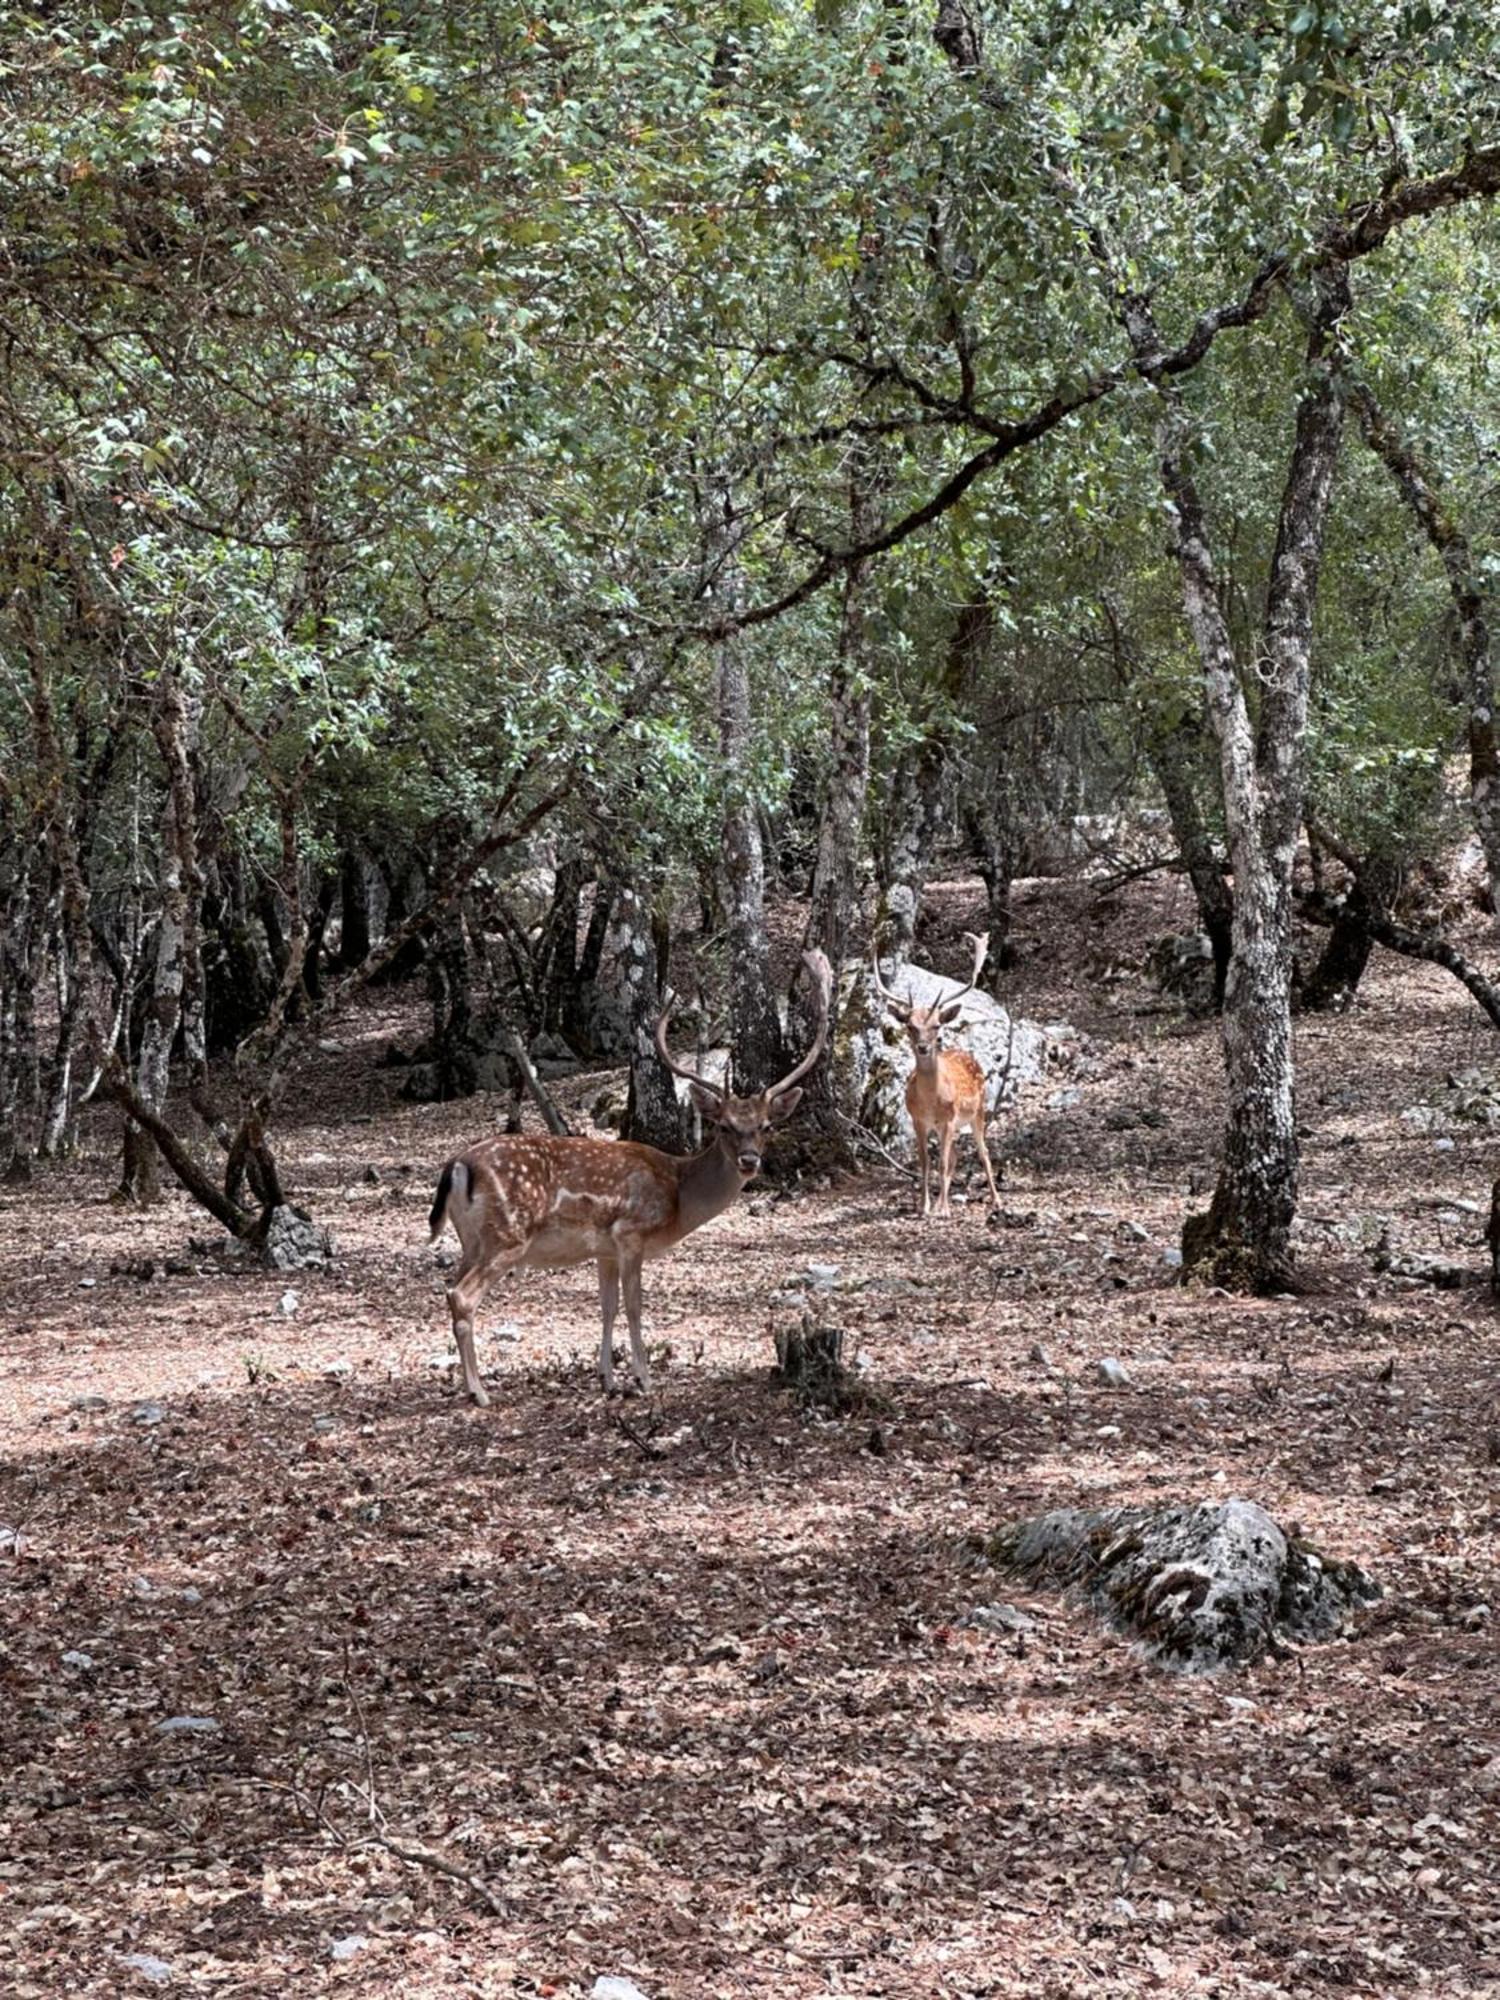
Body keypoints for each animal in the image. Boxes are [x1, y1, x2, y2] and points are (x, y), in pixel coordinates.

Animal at [428, 956, 836, 1408]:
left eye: (765, 1125)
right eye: (724, 1126)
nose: (750, 1160)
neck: (678, 1194)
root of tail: (458, 1165)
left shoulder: (604, 1249)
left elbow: (606, 1306)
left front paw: (608, 1378)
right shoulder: (631, 1233)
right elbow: (634, 1305)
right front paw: (644, 1378)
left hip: (472, 1240)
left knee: (450, 1289)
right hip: (508, 1234)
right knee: (461, 1296)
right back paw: (479, 1391)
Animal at [876, 932, 1004, 1216]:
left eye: (936, 1025)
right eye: (910, 1025)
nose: (923, 1047)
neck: (931, 1101)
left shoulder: (948, 1118)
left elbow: (942, 1163)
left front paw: (943, 1210)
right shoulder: (918, 1120)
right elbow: (925, 1163)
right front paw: (924, 1207)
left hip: (977, 1111)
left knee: (983, 1154)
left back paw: (997, 1201)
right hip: (950, 1125)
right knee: (955, 1156)